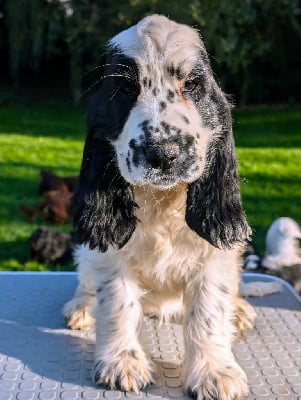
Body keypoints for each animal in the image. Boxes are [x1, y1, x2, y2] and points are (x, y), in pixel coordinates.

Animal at [63, 14, 255, 400]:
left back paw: (239, 310)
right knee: (86, 279)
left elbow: (209, 311)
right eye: (124, 90)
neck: (163, 200)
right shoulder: (111, 253)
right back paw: (81, 307)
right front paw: (122, 363)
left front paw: (214, 372)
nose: (163, 154)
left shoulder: (215, 254)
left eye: (192, 84)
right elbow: (118, 302)